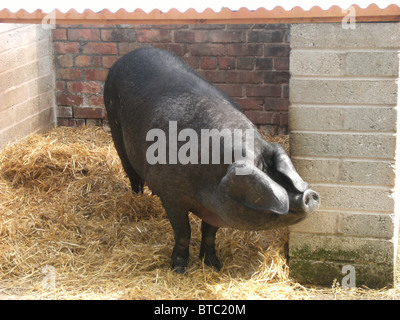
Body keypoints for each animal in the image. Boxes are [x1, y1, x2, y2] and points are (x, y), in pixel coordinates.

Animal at [103, 47, 318, 272]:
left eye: (274, 168)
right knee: (132, 174)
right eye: (259, 168)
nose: (310, 194)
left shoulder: (218, 206)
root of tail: (129, 54)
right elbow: (183, 233)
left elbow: (209, 234)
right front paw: (178, 269)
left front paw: (215, 265)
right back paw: (137, 197)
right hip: (115, 127)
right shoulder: (171, 196)